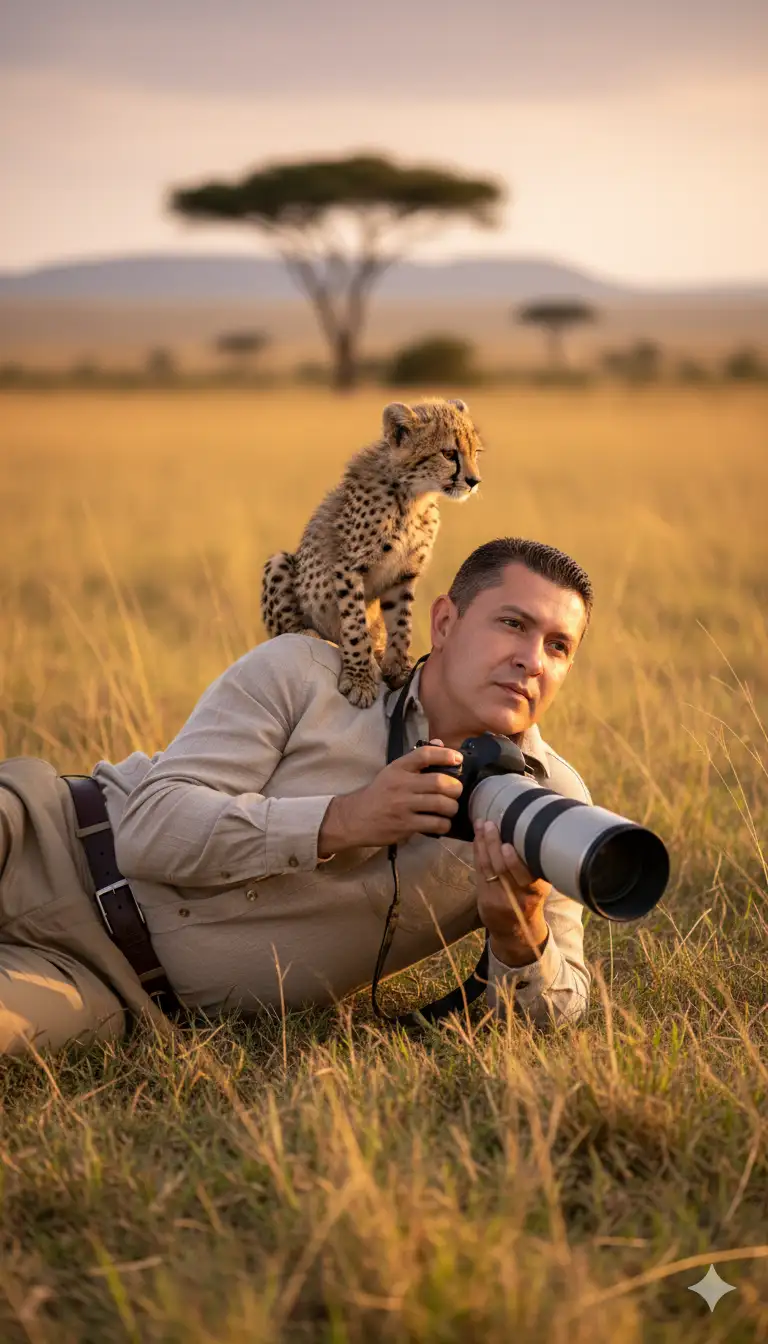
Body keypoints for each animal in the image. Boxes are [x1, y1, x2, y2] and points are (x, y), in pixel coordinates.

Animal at [261, 397, 484, 708]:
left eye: (475, 452)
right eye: (449, 453)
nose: (474, 481)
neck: (413, 497)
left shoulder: (403, 574)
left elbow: (401, 622)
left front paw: (397, 667)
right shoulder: (349, 566)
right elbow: (355, 625)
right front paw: (361, 679)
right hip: (279, 562)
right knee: (284, 628)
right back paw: (308, 631)